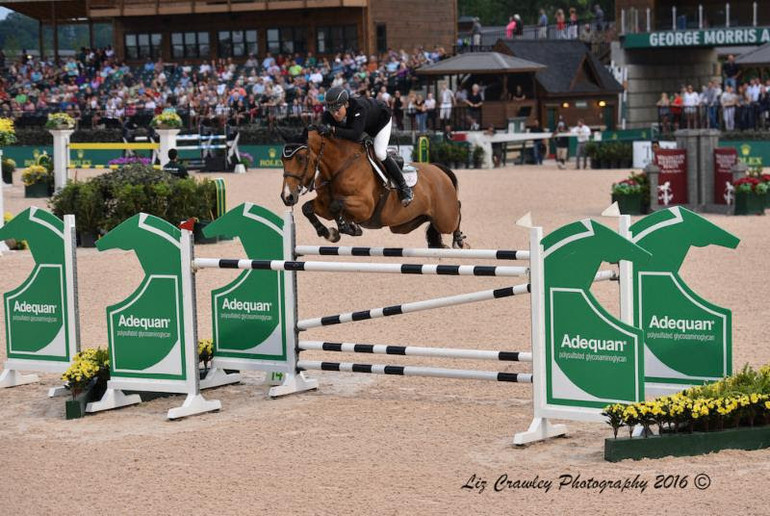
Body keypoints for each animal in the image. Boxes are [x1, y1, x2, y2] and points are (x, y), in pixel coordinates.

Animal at [280, 126, 464, 248]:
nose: (287, 197)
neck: (339, 168)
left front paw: (348, 228)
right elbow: (307, 208)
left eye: (301, 158)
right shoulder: (323, 205)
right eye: (282, 160)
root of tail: (439, 170)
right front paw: (330, 233)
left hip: (445, 219)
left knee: (457, 211)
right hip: (403, 225)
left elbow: (336, 205)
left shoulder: (365, 207)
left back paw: (459, 240)